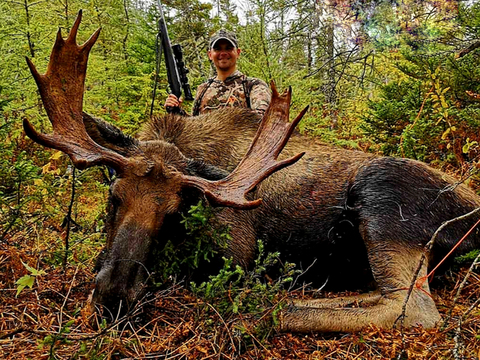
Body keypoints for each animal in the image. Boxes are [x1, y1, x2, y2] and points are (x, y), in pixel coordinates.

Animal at [25, 12, 480, 334]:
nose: (114, 296)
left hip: (383, 201)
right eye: (113, 196)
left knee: (411, 309)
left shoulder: (235, 252)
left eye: (175, 212)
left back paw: (275, 307)